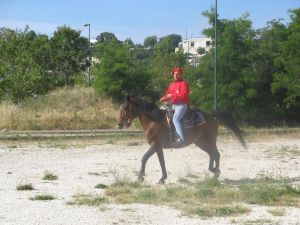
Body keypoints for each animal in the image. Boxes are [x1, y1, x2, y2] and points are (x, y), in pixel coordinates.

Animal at [117, 95, 246, 185]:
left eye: (125, 107)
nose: (119, 124)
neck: (155, 121)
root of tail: (212, 116)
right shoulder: (158, 147)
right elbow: (162, 162)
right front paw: (162, 178)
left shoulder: (155, 145)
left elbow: (144, 158)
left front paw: (140, 177)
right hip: (201, 142)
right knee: (212, 154)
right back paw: (213, 170)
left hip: (210, 140)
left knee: (216, 154)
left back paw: (216, 173)